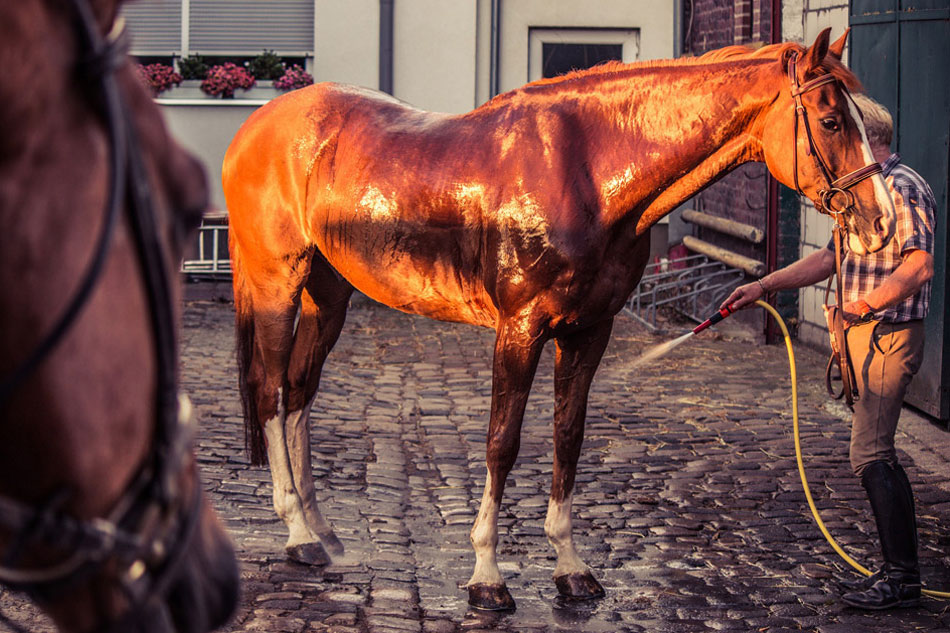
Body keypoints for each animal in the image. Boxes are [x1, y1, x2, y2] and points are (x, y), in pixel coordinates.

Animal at [223, 28, 895, 611]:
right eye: (832, 120)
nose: (881, 221)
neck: (586, 172)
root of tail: (256, 125)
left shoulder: (587, 331)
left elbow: (567, 438)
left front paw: (571, 570)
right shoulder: (519, 330)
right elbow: (502, 443)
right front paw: (486, 576)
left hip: (327, 296)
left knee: (300, 392)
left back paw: (321, 530)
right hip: (277, 288)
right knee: (271, 392)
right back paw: (297, 533)